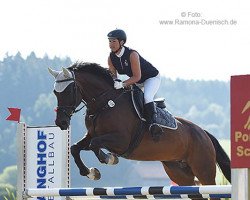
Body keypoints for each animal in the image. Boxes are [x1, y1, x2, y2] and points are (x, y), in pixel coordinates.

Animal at [48, 62, 230, 200]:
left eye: (69, 90)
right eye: (55, 92)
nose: (61, 122)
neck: (104, 103)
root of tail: (203, 133)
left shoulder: (121, 141)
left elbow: (94, 144)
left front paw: (108, 159)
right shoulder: (92, 135)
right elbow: (75, 147)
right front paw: (90, 172)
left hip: (203, 169)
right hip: (179, 173)